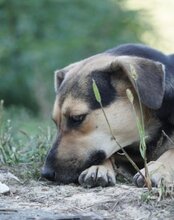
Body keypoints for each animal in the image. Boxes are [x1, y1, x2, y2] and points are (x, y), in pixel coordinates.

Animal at [41, 43, 174, 188]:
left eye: (77, 118)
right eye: (55, 122)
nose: (46, 173)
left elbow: (171, 152)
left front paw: (157, 168)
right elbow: (106, 156)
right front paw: (98, 168)